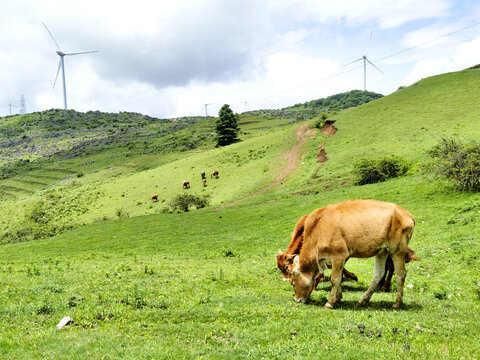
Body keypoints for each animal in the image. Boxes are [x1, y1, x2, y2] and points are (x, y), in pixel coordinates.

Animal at [286, 200, 414, 310]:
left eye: (292, 282)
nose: (297, 299)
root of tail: (405, 214)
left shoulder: (338, 256)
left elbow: (335, 279)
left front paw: (330, 303)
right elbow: (339, 279)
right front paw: (338, 298)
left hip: (397, 251)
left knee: (401, 274)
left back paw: (397, 303)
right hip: (382, 252)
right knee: (378, 274)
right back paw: (363, 300)